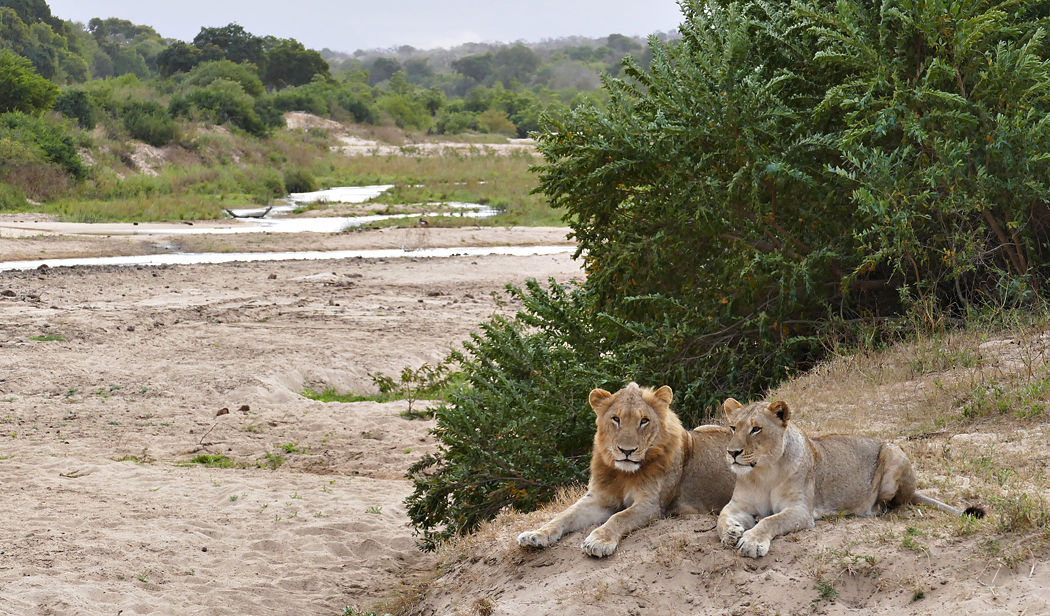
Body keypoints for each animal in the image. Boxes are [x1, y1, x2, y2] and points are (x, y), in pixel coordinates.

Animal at [518, 384, 734, 558]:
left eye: (644, 421)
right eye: (616, 419)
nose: (627, 451)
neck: (622, 474)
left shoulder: (651, 504)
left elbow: (619, 517)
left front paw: (598, 541)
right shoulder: (598, 498)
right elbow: (564, 514)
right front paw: (535, 535)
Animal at [718, 400, 978, 558]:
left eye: (756, 429)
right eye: (733, 428)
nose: (732, 452)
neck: (763, 473)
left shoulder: (800, 510)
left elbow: (771, 520)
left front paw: (752, 541)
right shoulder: (739, 505)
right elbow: (722, 516)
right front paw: (731, 532)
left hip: (893, 453)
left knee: (894, 503)